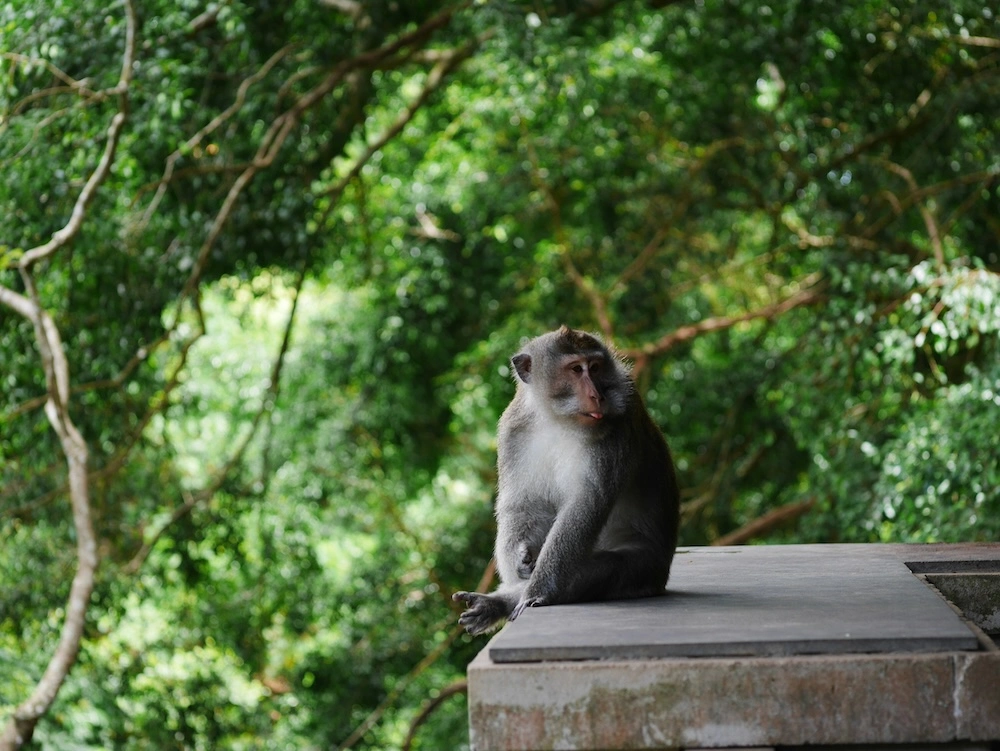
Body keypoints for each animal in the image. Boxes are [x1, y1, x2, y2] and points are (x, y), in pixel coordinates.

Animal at [453, 325, 680, 635]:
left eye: (594, 367)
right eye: (575, 369)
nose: (597, 395)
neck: (558, 420)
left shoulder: (617, 426)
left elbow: (586, 506)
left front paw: (535, 592)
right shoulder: (513, 428)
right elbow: (523, 504)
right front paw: (520, 557)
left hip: (646, 568)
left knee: (598, 570)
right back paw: (494, 604)